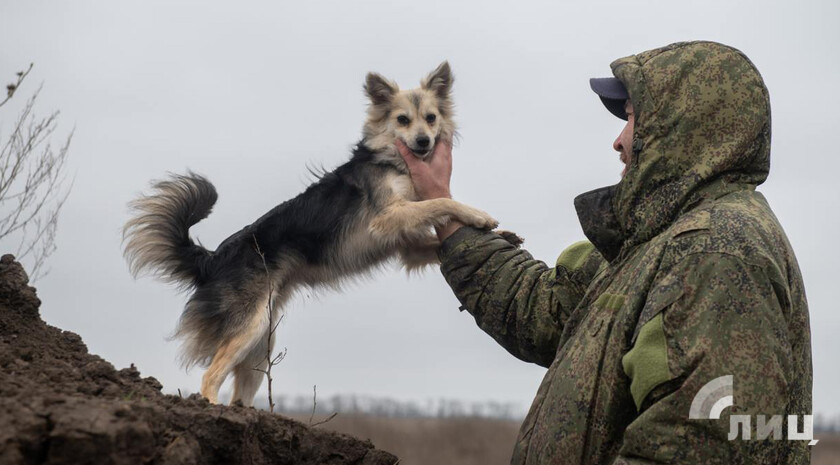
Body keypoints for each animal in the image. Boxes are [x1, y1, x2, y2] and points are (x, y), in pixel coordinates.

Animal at [121, 62, 516, 406]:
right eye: (402, 120)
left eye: (431, 118)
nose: (422, 142)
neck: (394, 161)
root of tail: (214, 259)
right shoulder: (387, 217)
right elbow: (440, 201)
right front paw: (478, 215)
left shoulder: (405, 244)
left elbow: (436, 239)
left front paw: (505, 237)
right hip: (248, 326)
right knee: (209, 377)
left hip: (261, 340)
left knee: (239, 391)